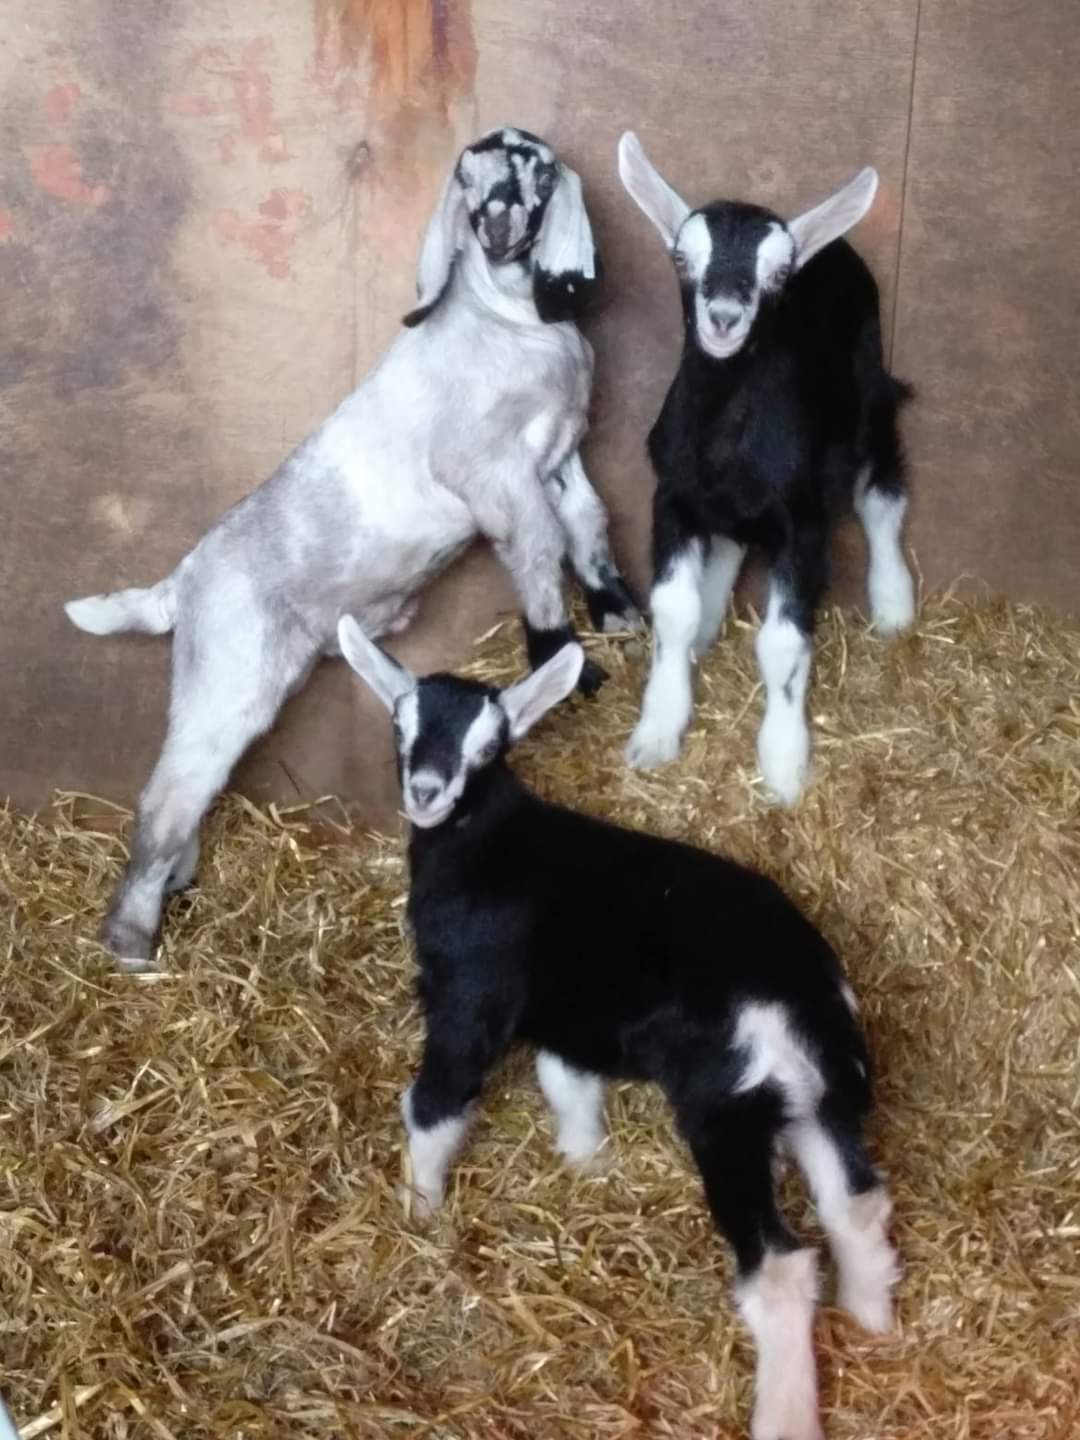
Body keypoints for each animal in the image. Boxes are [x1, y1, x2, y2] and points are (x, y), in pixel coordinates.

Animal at [63, 126, 641, 970]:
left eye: (535, 168)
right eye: (467, 180)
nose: (497, 220)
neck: (507, 323)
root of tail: (184, 577)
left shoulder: (561, 454)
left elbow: (589, 524)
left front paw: (617, 612)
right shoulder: (492, 472)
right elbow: (537, 548)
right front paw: (562, 656)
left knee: (189, 792)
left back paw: (174, 887)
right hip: (225, 676)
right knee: (164, 795)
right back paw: (132, 940)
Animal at [338, 619, 899, 1440]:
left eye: (489, 745)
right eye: (400, 724)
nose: (427, 792)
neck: (486, 838)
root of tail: (797, 1003)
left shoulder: (471, 994)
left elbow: (436, 1100)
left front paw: (420, 1212)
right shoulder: (568, 1016)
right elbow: (565, 1080)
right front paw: (583, 1161)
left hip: (726, 1113)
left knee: (780, 1268)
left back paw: (786, 1413)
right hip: (818, 1101)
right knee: (855, 1203)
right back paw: (871, 1318)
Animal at [617, 132, 916, 804]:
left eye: (778, 272)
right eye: (682, 258)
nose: (725, 316)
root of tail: (837, 251)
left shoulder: (801, 522)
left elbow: (782, 643)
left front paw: (783, 764)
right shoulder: (671, 498)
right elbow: (671, 610)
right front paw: (657, 730)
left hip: (869, 384)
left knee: (881, 494)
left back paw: (893, 602)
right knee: (732, 537)